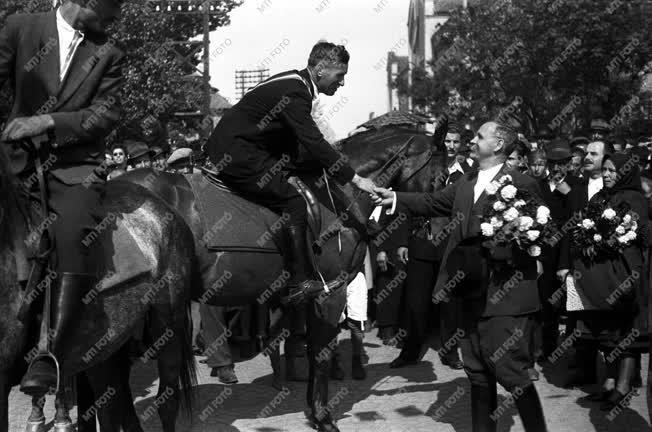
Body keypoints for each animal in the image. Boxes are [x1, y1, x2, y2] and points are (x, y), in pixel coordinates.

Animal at [118, 125, 448, 428]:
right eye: (442, 175)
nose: (439, 231)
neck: (335, 196)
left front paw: (312, 408)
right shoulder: (332, 291)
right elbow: (321, 353)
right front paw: (323, 417)